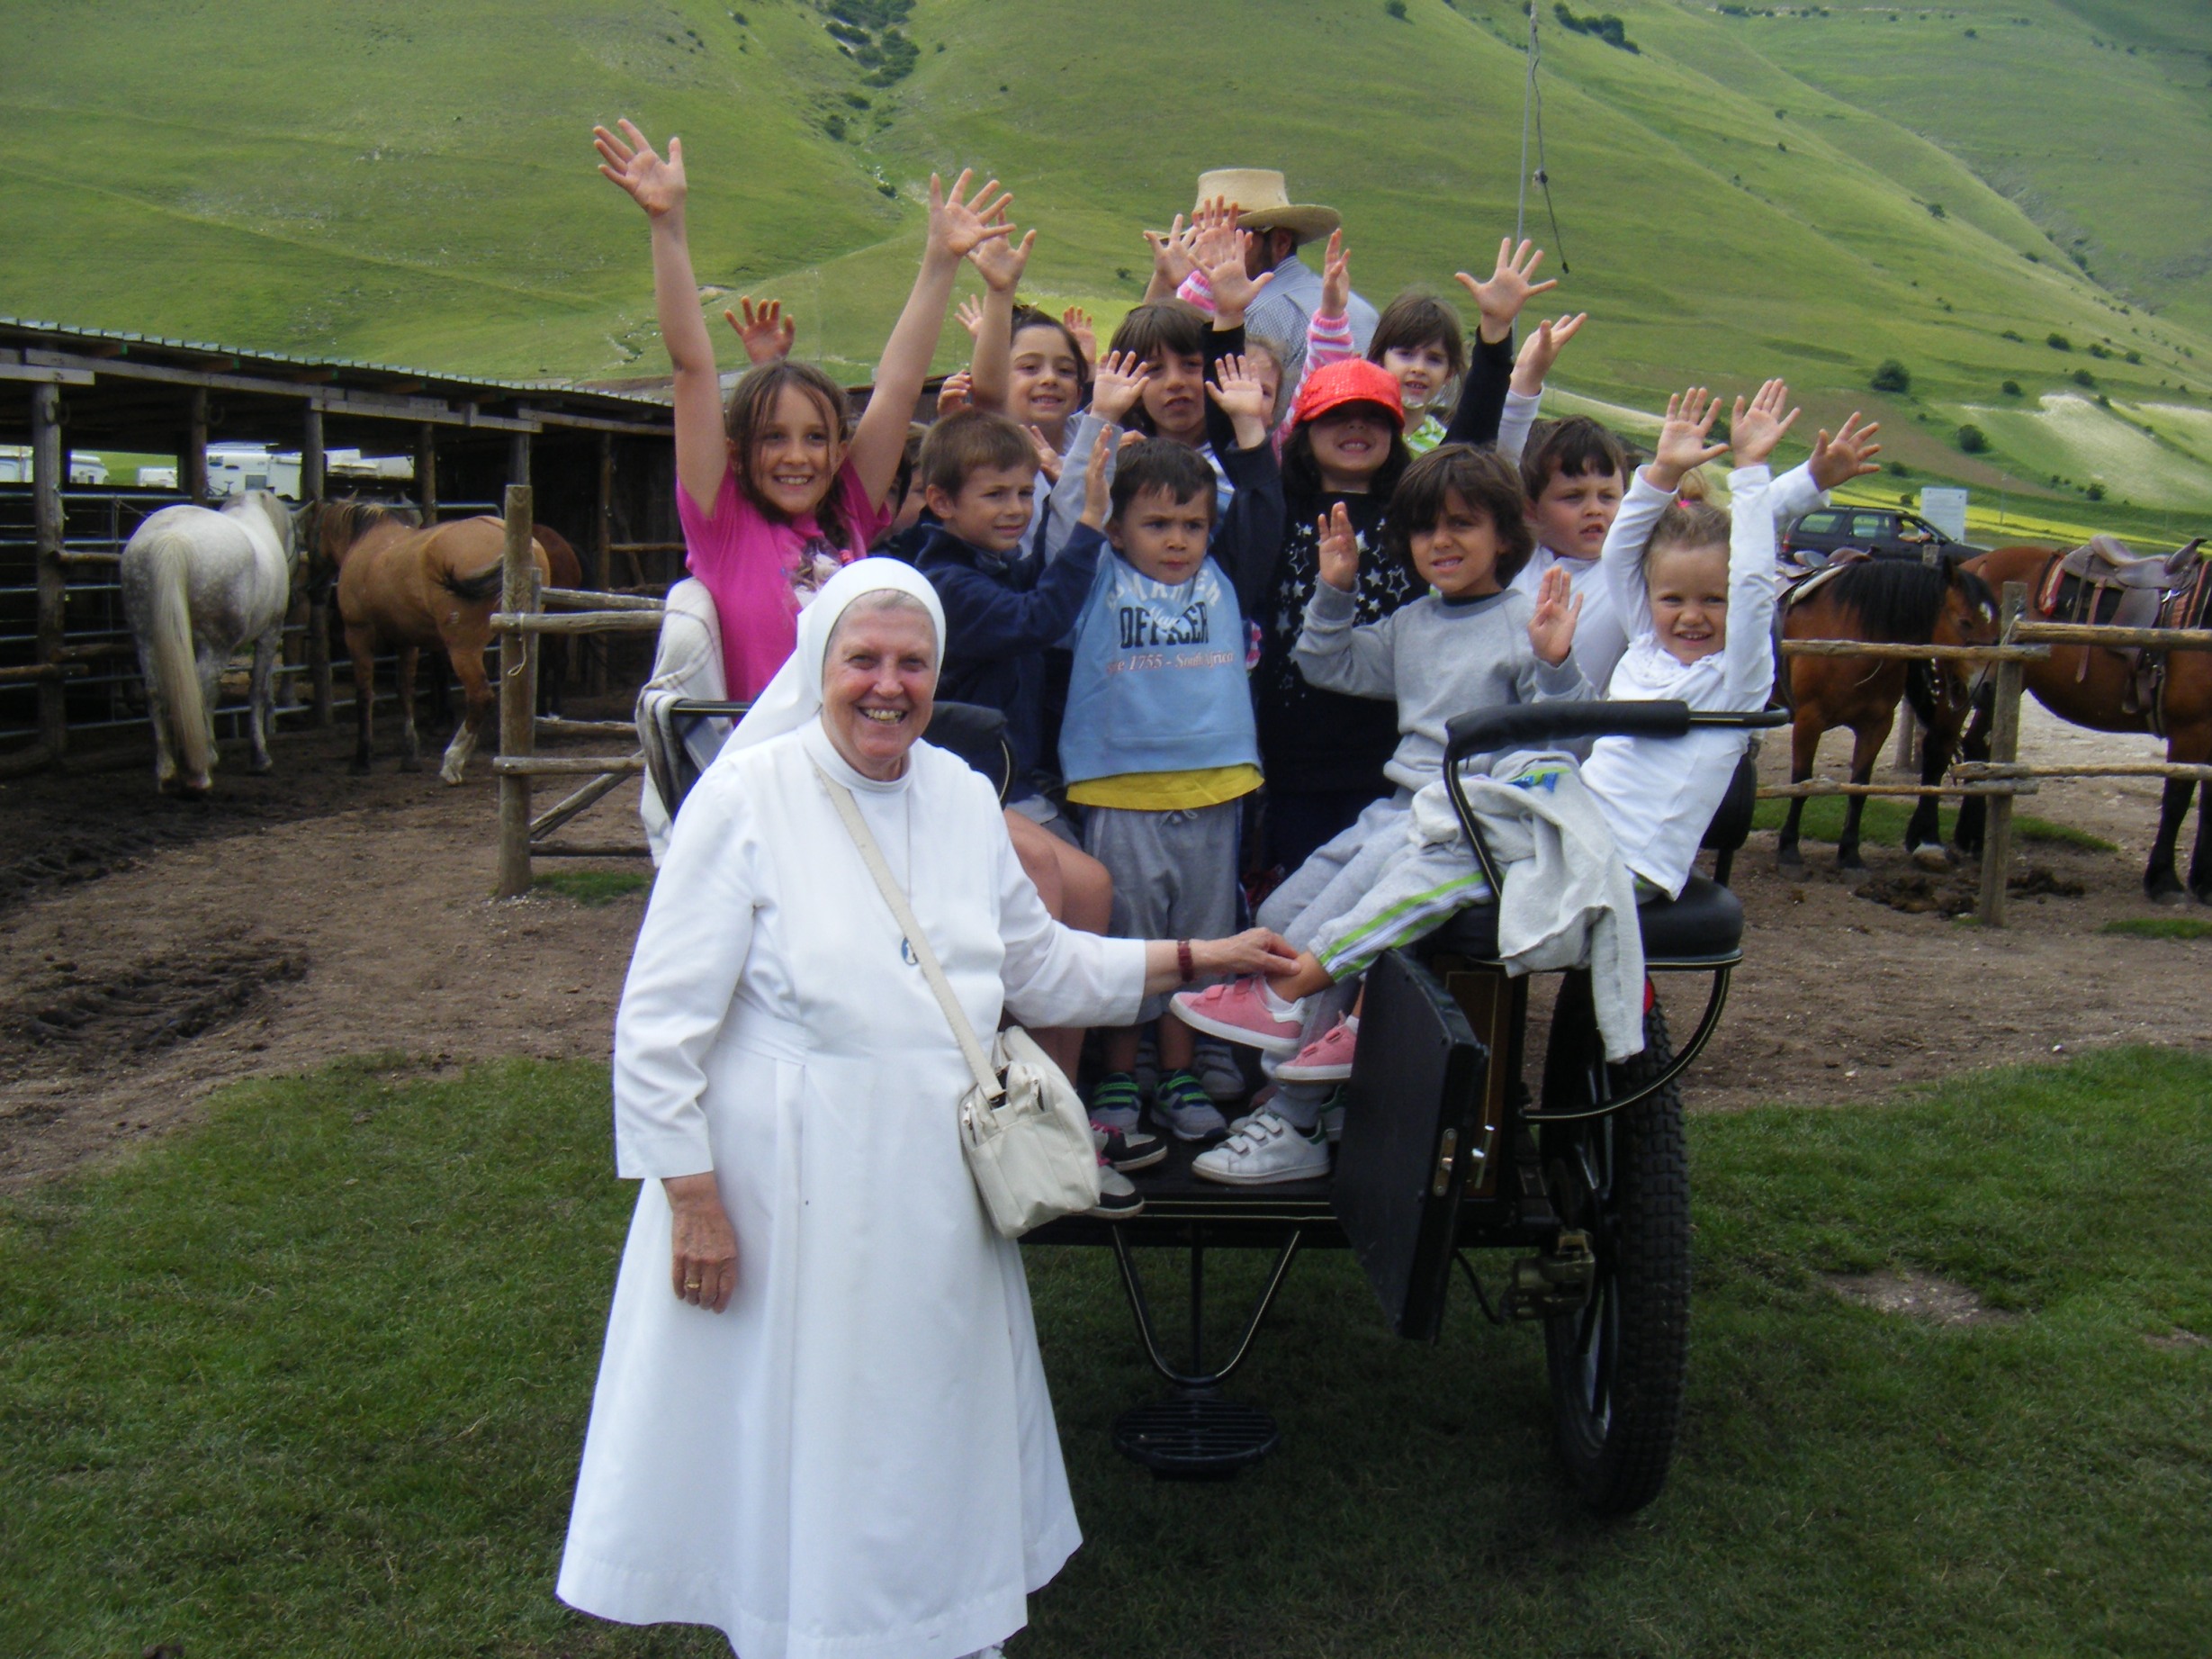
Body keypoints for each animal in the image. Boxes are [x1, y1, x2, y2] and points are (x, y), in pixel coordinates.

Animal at [120, 491, 301, 796]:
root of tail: (173, 537)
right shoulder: (269, 636)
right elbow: (257, 692)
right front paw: (259, 758)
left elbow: (213, 695)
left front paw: (212, 749)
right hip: (218, 646)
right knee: (199, 688)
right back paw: (197, 774)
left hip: (146, 638)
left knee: (157, 692)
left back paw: (168, 770)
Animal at [1778, 555, 2008, 871]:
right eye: (1965, 621)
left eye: (1997, 628)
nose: (1989, 687)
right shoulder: (1808, 720)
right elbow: (1801, 782)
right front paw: (1789, 848)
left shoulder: (1876, 725)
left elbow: (1860, 788)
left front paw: (1850, 854)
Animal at [1955, 545, 2212, 902]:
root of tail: (1976, 561)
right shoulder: (2191, 732)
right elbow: (2177, 802)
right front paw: (2163, 880)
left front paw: (2205, 882)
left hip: (1996, 688)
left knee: (1979, 747)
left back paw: (1974, 839)